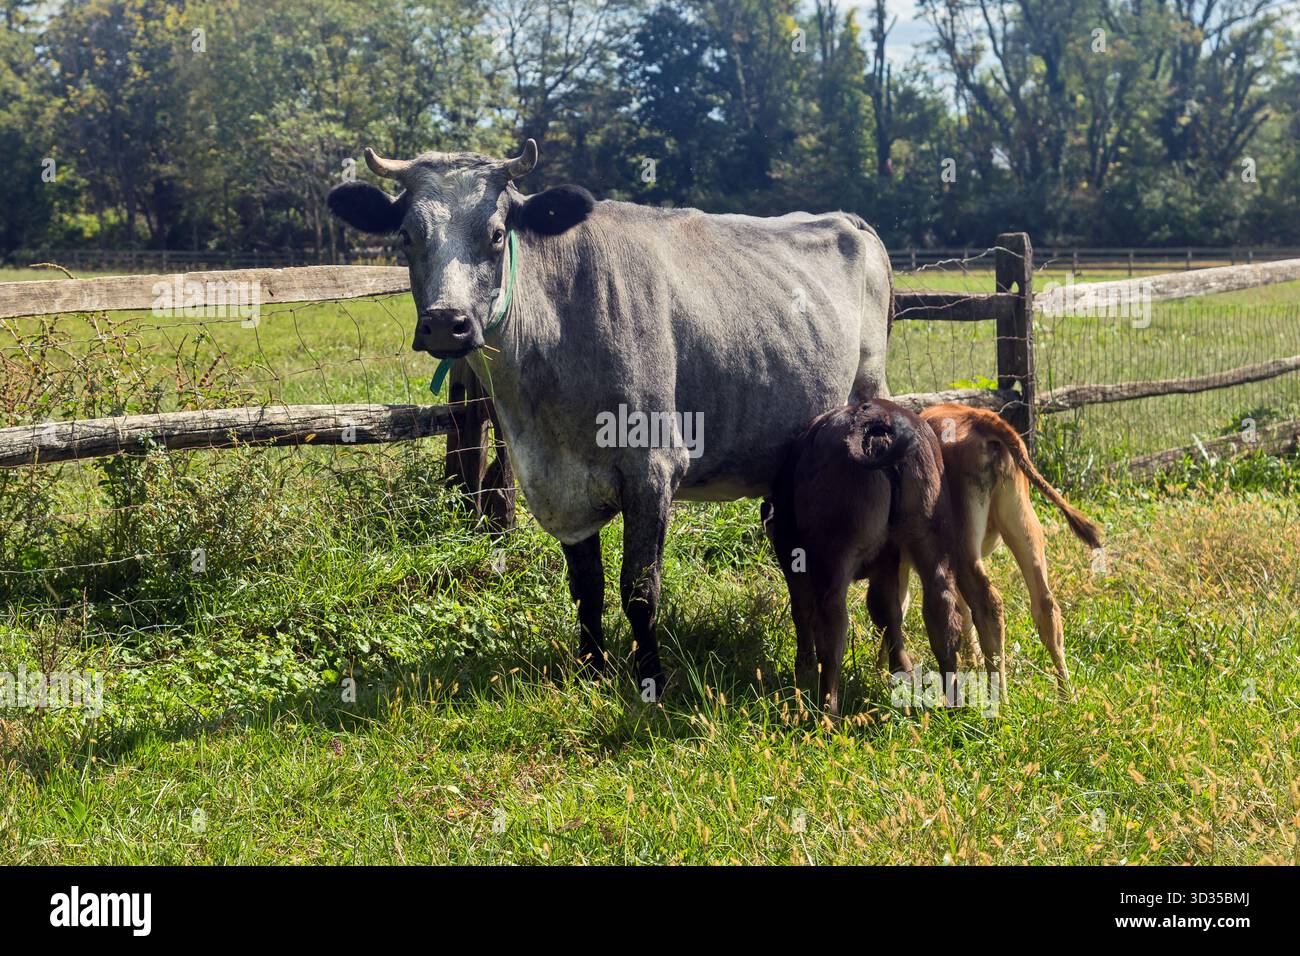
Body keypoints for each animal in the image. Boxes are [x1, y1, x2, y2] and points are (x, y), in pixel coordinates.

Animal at [328, 140, 893, 701]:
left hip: (871, 398)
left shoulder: (653, 468)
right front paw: (592, 670)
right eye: (407, 235)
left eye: (495, 234)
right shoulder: (561, 484)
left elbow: (640, 590)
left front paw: (650, 681)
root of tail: (847, 219)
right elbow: (587, 587)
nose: (448, 323)